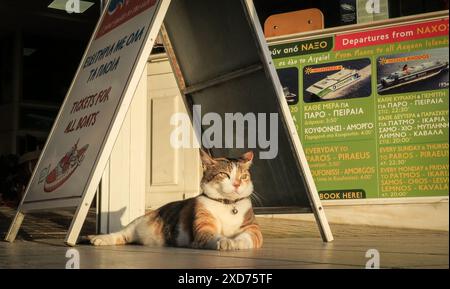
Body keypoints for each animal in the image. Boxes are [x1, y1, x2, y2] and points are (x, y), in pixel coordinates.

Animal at [87, 150, 264, 249]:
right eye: (224, 174)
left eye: (243, 176)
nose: (237, 183)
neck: (228, 206)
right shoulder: (203, 227)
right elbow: (213, 236)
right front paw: (226, 242)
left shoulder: (253, 229)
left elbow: (246, 237)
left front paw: (235, 242)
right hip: (137, 222)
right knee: (120, 234)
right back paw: (99, 239)